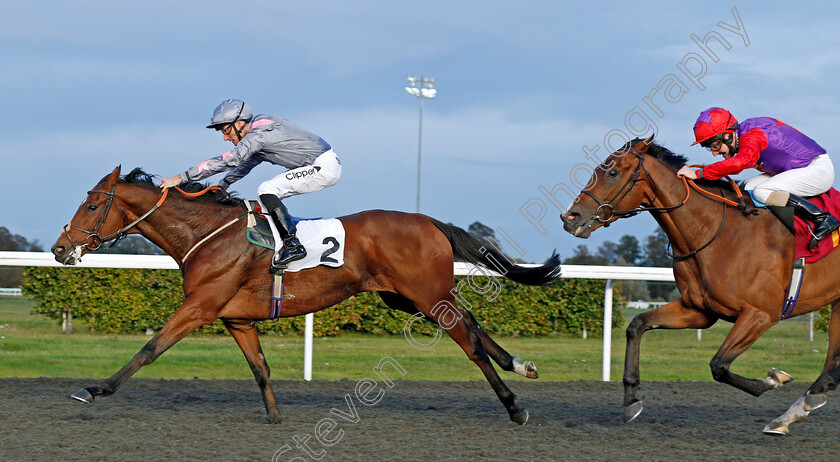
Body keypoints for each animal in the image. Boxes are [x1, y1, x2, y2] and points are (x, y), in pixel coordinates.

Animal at [54, 166, 564, 426]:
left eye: (93, 204)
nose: (60, 249)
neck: (207, 234)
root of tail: (429, 221)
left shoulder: (200, 306)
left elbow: (149, 349)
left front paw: (94, 389)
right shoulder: (235, 318)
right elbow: (260, 367)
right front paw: (275, 417)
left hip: (423, 294)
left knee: (470, 343)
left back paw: (514, 406)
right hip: (406, 296)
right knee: (472, 323)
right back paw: (521, 366)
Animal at [560, 135, 840, 434]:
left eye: (612, 173)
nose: (570, 218)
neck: (716, 232)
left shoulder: (761, 314)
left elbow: (719, 365)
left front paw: (772, 380)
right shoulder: (698, 310)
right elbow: (637, 325)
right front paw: (631, 399)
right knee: (832, 365)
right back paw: (793, 412)